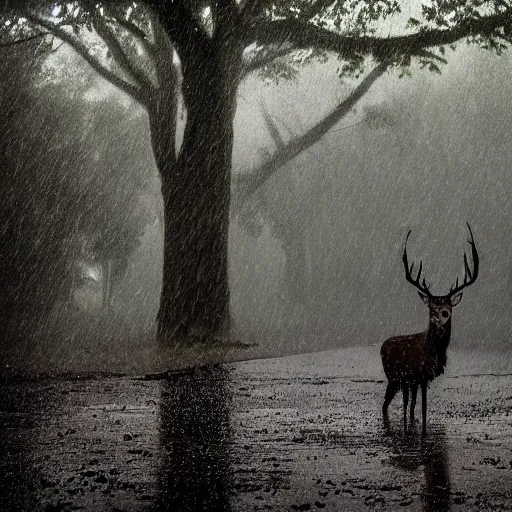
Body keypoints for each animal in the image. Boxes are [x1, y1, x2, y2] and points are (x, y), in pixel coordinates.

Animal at [380, 222, 480, 434]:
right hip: (393, 376)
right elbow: (424, 407)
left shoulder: (419, 379)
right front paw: (424, 433)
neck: (433, 352)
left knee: (406, 405)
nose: (440, 323)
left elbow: (418, 407)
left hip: (405, 380)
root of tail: (383, 345)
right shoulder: (422, 375)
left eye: (447, 309)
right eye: (431, 309)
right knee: (386, 403)